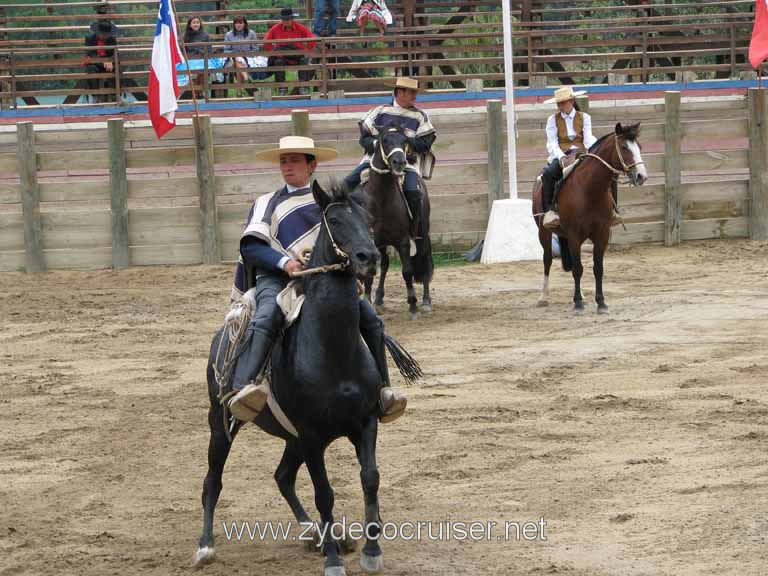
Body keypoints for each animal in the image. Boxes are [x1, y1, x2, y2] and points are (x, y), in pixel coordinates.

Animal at [195, 182, 408, 576]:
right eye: (335, 221)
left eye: (367, 218)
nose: (369, 256)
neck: (332, 350)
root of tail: (223, 335)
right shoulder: (311, 436)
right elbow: (324, 493)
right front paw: (334, 561)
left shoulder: (364, 423)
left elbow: (370, 478)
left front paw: (371, 550)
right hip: (221, 424)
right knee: (212, 481)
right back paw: (205, 546)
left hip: (291, 439)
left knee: (283, 477)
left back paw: (316, 533)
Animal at [362, 126, 432, 322]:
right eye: (385, 140)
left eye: (404, 141)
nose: (399, 162)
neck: (381, 200)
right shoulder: (373, 242)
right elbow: (371, 274)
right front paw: (369, 302)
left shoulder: (403, 241)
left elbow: (407, 271)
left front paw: (413, 306)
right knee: (385, 264)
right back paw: (379, 298)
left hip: (422, 234)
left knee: (424, 259)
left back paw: (426, 301)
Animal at [536, 121, 648, 312]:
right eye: (624, 147)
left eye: (639, 147)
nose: (642, 176)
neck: (589, 189)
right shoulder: (574, 235)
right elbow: (578, 269)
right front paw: (578, 303)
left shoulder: (601, 234)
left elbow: (598, 268)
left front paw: (600, 302)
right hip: (544, 232)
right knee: (548, 260)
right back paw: (544, 296)